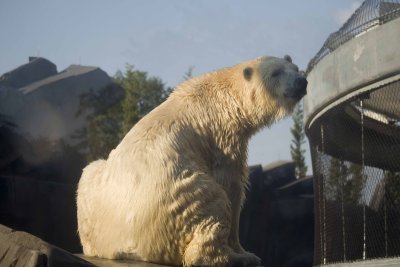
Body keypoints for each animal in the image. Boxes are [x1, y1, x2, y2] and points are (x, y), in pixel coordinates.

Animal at [77, 55, 306, 266]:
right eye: (276, 72)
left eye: (295, 68)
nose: (301, 82)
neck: (225, 94)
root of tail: (125, 244)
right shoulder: (222, 137)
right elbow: (232, 186)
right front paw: (245, 251)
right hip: (179, 197)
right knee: (213, 201)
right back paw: (237, 258)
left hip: (93, 188)